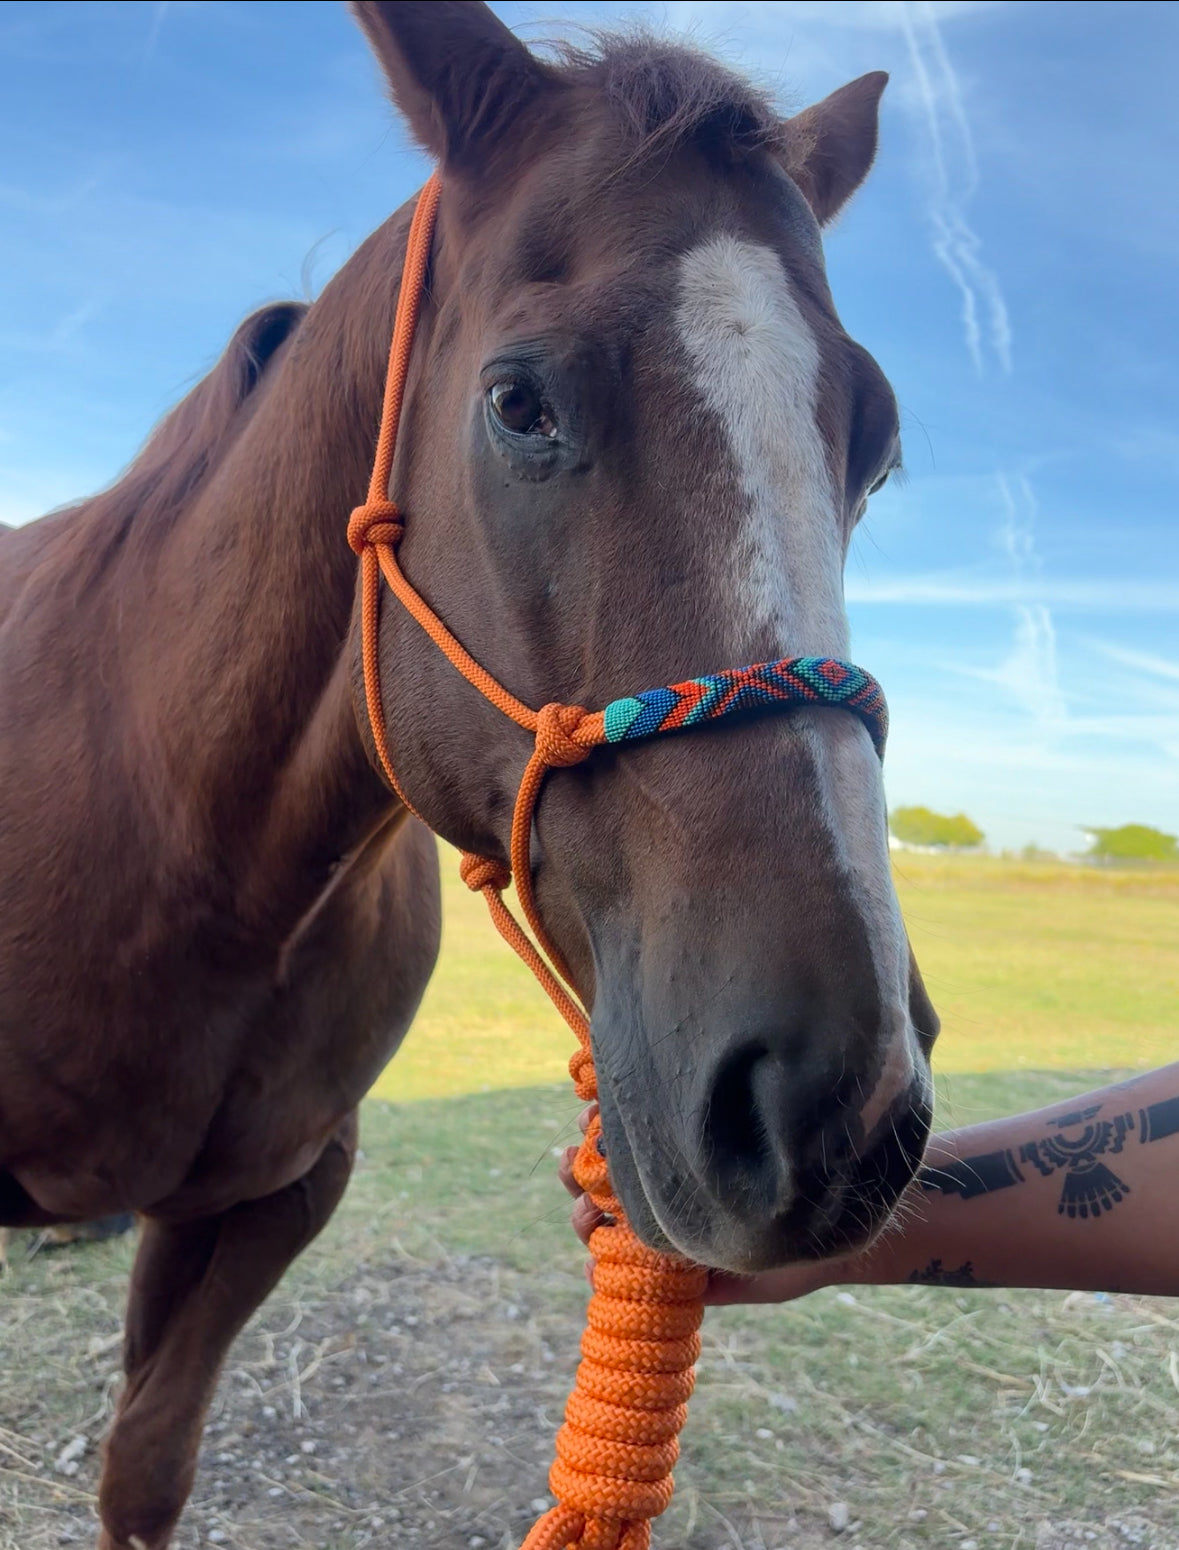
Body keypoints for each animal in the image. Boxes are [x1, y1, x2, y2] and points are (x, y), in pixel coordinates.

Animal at [0, 4, 938, 1545]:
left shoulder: (268, 1195)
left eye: (871, 440)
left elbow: (145, 1465)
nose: (836, 1102)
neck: (184, 838)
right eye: (518, 401)